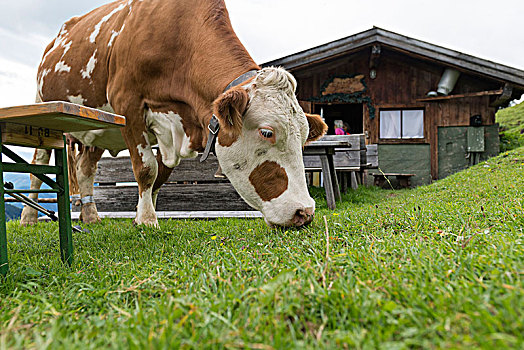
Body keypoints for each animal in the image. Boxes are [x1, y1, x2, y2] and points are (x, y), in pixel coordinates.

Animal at [21, 0, 328, 228]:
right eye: (267, 132)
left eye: (304, 137)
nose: (304, 212)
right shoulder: (128, 106)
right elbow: (146, 169)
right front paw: (147, 220)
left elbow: (162, 175)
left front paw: (142, 215)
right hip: (41, 106)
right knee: (37, 167)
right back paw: (28, 218)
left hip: (100, 129)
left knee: (85, 169)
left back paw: (91, 216)